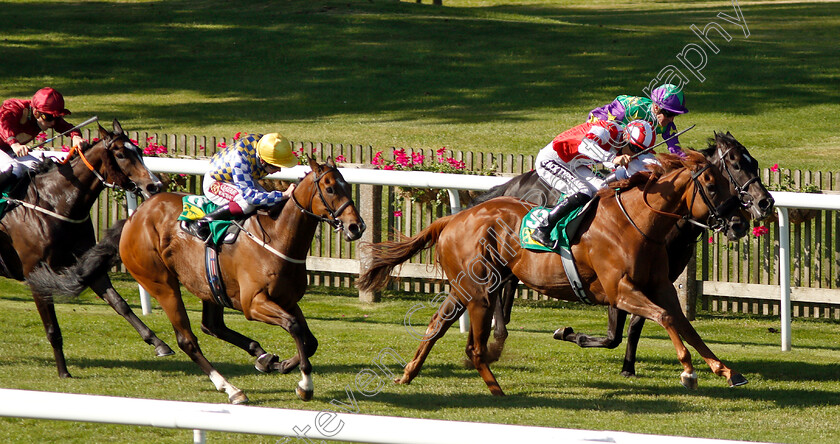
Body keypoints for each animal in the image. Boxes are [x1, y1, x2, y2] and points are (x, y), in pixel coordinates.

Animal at [0, 120, 174, 378]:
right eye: (120, 154)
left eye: (140, 151)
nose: (155, 185)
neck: (54, 204)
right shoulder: (35, 275)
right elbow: (52, 329)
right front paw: (63, 372)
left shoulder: (87, 264)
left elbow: (120, 304)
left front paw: (159, 344)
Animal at [30, 158, 364, 404]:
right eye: (330, 188)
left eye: (348, 186)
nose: (356, 227)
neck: (278, 237)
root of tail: (135, 217)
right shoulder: (253, 303)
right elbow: (295, 328)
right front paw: (305, 384)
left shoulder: (287, 300)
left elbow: (310, 340)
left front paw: (280, 364)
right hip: (161, 283)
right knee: (188, 340)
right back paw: (230, 388)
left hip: (210, 286)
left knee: (211, 326)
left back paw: (261, 356)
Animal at [358, 152, 752, 396]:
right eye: (713, 185)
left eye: (729, 181)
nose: (740, 222)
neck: (637, 223)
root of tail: (451, 219)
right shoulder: (621, 291)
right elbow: (666, 318)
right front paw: (688, 371)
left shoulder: (660, 286)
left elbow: (684, 324)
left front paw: (725, 370)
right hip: (479, 290)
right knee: (473, 345)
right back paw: (496, 389)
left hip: (465, 288)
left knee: (436, 325)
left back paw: (408, 374)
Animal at [472, 133, 776, 378]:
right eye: (735, 166)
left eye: (754, 163)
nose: (762, 205)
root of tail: (512, 185)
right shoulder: (617, 288)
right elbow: (618, 333)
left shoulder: (658, 283)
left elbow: (651, 324)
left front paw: (629, 365)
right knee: (496, 289)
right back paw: (498, 335)